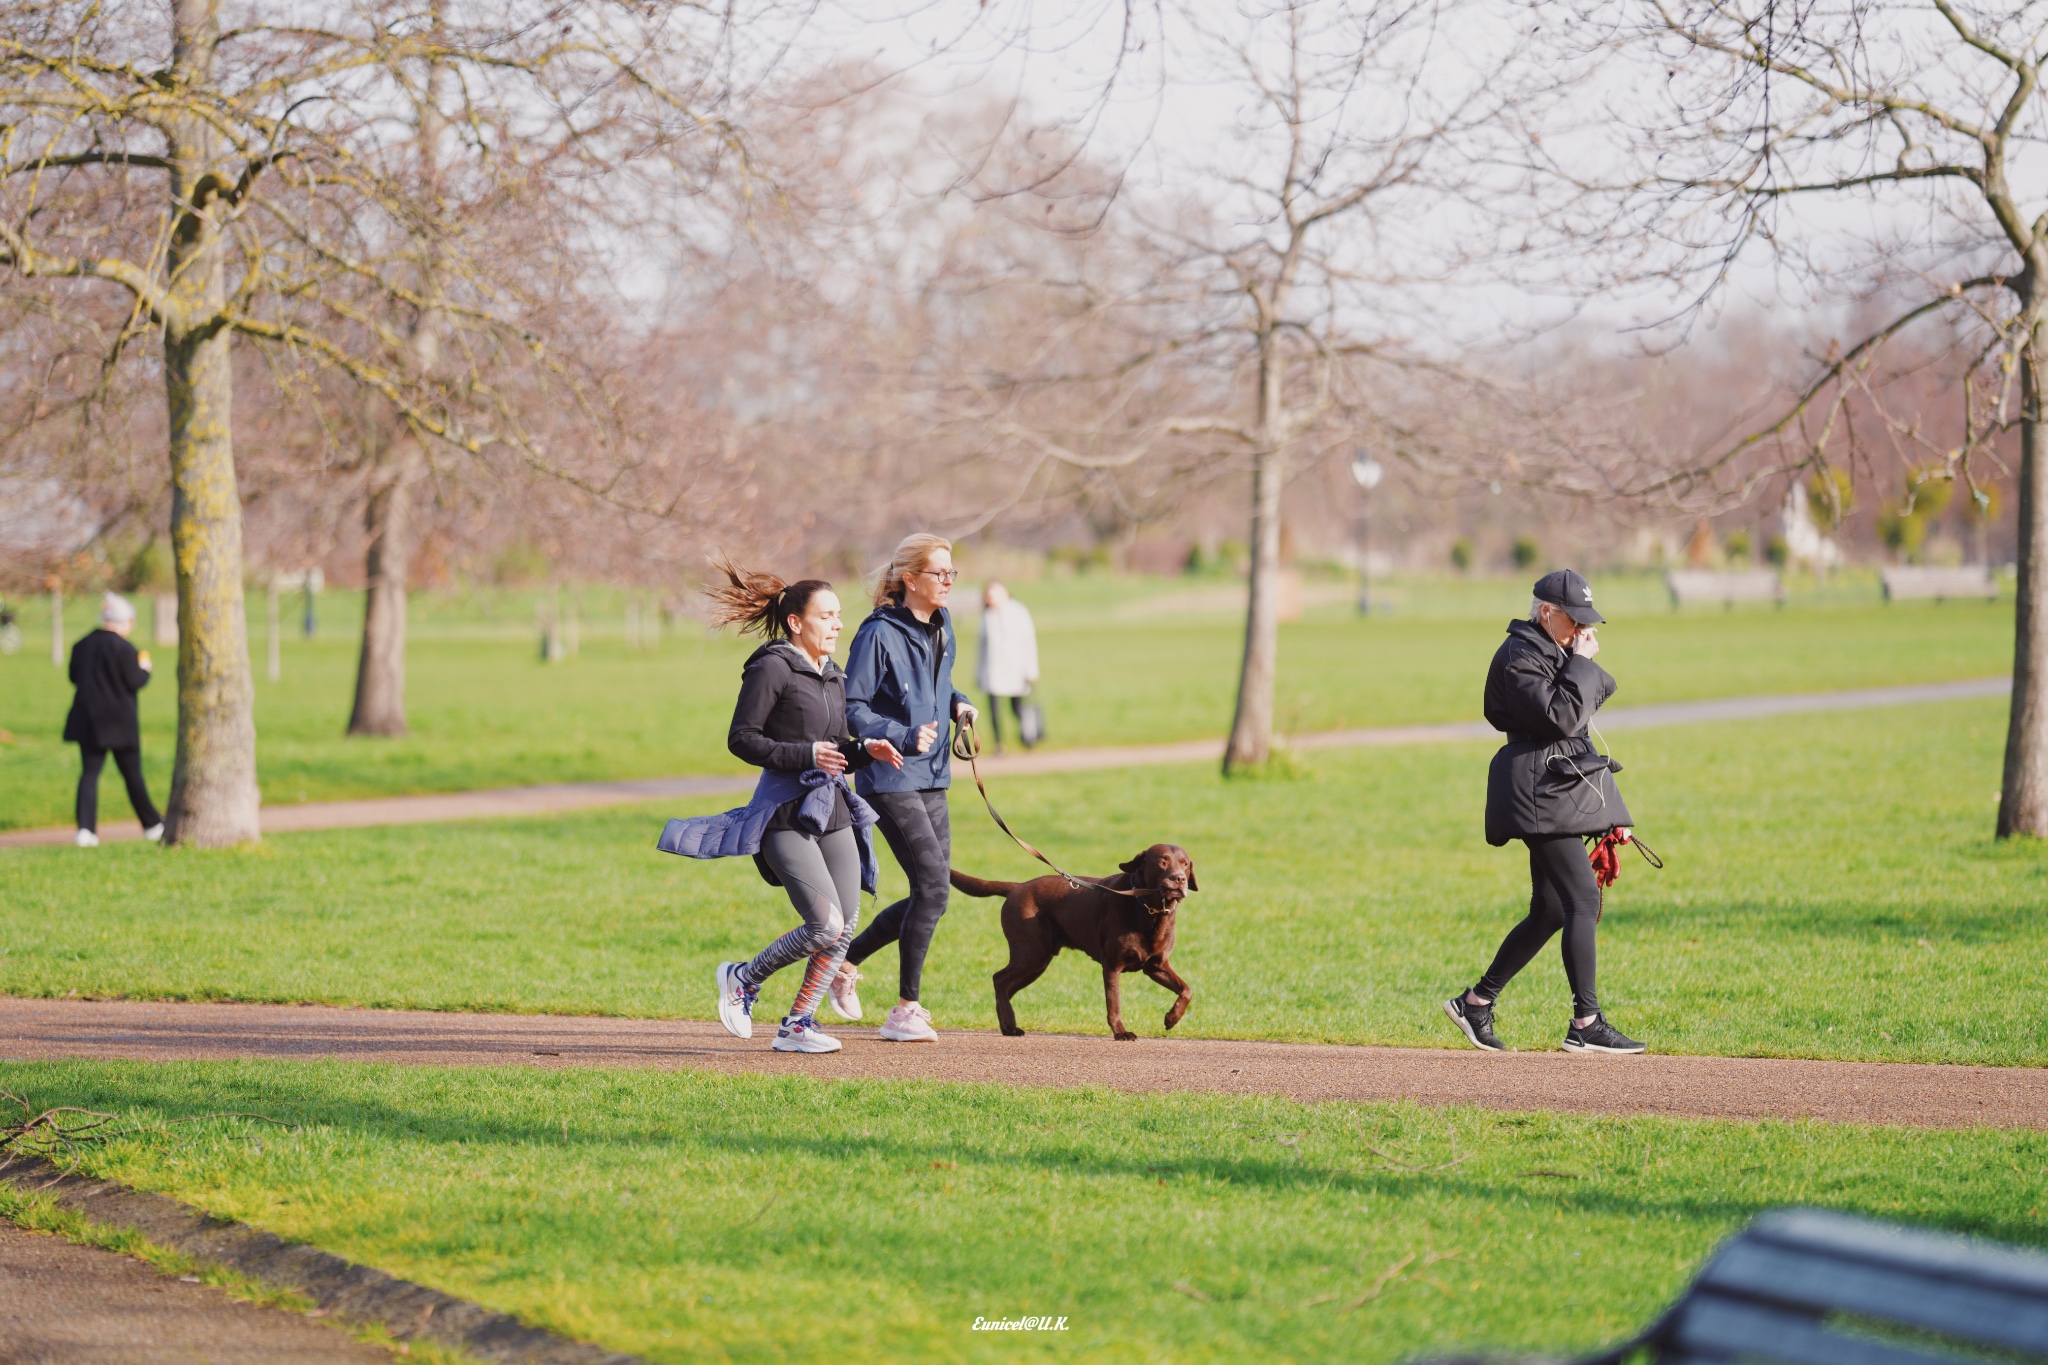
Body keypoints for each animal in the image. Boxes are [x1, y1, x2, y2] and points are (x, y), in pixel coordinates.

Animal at [946, 839, 1196, 1039]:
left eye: (1185, 864)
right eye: (1162, 862)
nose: (1179, 879)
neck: (1148, 909)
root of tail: (1016, 888)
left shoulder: (1156, 966)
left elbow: (1186, 990)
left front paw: (1171, 1019)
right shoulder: (1112, 965)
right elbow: (1114, 1003)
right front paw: (1121, 1033)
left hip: (1038, 961)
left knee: (1005, 986)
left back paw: (1008, 1027)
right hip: (1031, 953)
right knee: (999, 979)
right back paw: (1010, 1025)